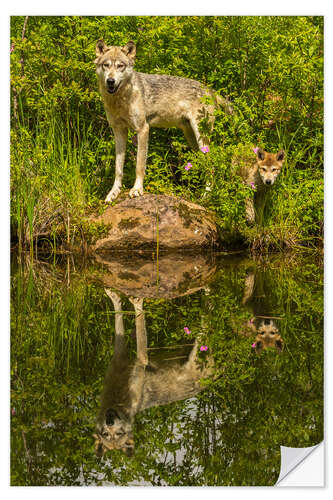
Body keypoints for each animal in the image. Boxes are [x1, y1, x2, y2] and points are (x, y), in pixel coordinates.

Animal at [93, 290, 213, 458]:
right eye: (105, 434)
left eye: (118, 433)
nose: (109, 419)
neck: (118, 400)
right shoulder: (125, 356)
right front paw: (120, 299)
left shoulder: (137, 359)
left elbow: (135, 321)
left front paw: (125, 300)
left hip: (199, 341)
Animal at [94, 39, 232, 203]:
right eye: (106, 65)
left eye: (120, 66)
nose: (110, 81)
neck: (120, 100)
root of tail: (210, 90)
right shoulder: (119, 131)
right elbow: (118, 169)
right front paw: (113, 193)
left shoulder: (143, 129)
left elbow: (139, 165)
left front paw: (137, 190)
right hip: (193, 140)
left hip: (201, 138)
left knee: (211, 166)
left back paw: (206, 196)